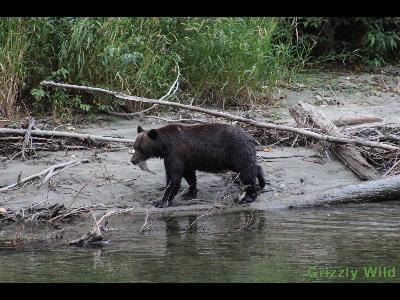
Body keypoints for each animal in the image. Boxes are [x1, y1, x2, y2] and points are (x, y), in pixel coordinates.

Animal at [130, 123, 264, 207]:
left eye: (141, 148)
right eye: (134, 146)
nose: (133, 160)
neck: (164, 146)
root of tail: (251, 137)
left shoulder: (175, 153)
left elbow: (173, 178)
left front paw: (162, 202)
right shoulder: (185, 158)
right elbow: (189, 175)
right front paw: (189, 194)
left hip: (237, 150)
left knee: (246, 171)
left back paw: (248, 197)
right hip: (231, 158)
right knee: (249, 168)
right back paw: (262, 181)